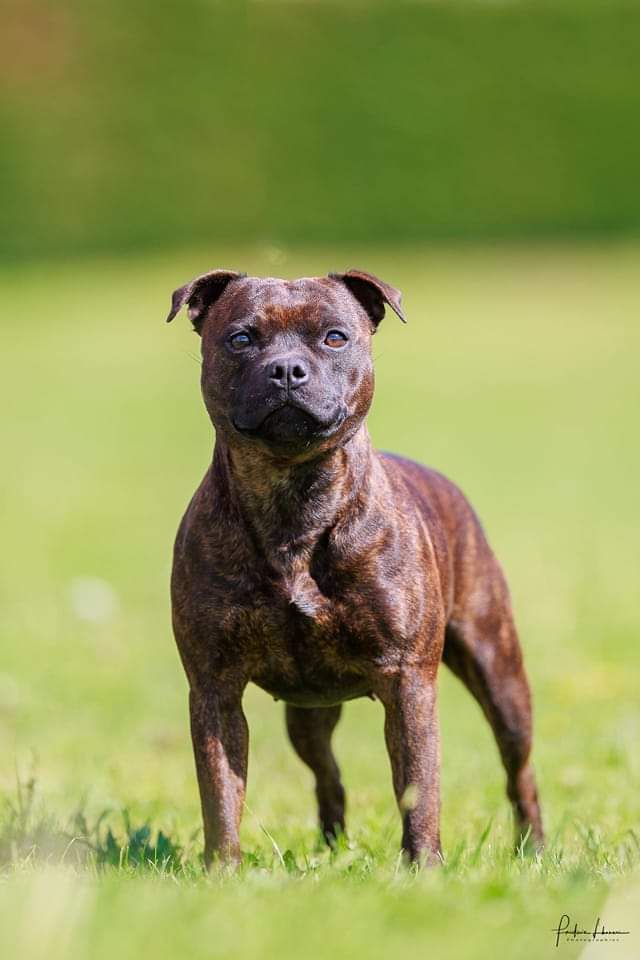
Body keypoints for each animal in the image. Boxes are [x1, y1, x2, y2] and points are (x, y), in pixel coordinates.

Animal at [168, 266, 544, 868]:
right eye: (241, 338)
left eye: (335, 337)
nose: (286, 369)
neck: (294, 500)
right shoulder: (214, 688)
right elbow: (220, 791)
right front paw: (223, 871)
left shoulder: (409, 684)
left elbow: (418, 787)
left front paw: (424, 868)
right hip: (307, 714)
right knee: (328, 775)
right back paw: (331, 846)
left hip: (501, 676)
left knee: (519, 772)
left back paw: (534, 848)